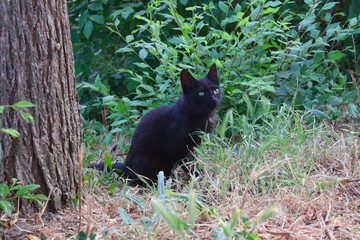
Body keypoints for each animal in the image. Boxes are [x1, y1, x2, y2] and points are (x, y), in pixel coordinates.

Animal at [90, 63, 221, 186]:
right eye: (201, 93)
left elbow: (193, 161)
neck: (202, 116)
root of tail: (126, 166)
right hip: (154, 161)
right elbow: (189, 164)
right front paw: (199, 177)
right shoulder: (176, 147)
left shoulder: (193, 146)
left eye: (215, 90)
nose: (214, 99)